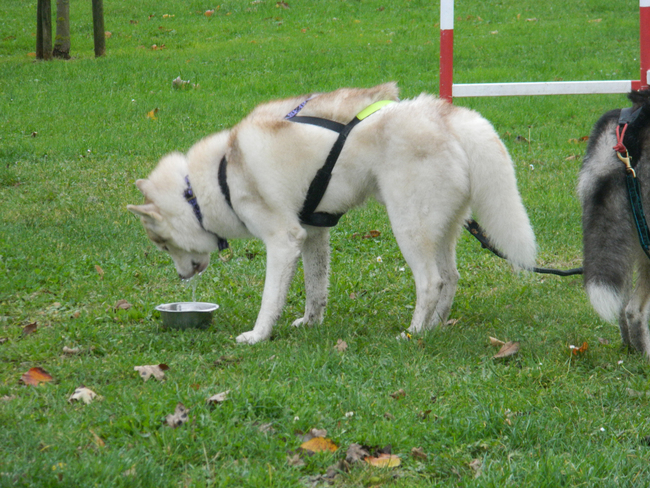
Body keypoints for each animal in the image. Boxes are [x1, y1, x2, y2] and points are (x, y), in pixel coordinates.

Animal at [129, 83, 536, 344]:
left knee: (431, 282)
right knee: (450, 278)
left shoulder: (283, 241)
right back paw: (435, 328)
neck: (215, 178)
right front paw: (311, 324)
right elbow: (315, 289)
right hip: (442, 229)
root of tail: (446, 115)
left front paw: (258, 336)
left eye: (162, 245)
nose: (182, 277)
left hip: (407, 227)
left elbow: (270, 300)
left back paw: (414, 333)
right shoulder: (312, 234)